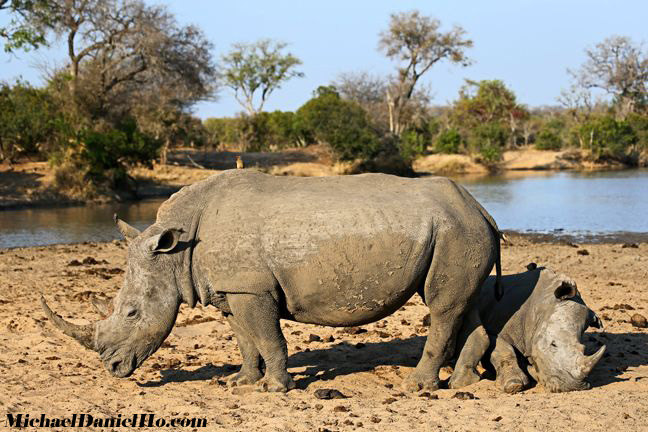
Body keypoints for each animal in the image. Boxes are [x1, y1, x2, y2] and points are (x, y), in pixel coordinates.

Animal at [41, 170, 502, 394]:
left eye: (133, 313)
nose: (112, 369)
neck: (176, 250)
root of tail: (481, 209)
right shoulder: (231, 288)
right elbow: (246, 340)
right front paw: (240, 383)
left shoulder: (252, 288)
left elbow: (268, 337)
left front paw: (274, 389)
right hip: (458, 231)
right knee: (463, 303)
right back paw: (463, 383)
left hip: (455, 231)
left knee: (441, 306)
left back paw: (417, 386)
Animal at [448, 264, 604, 394]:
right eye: (553, 344)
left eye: (584, 348)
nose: (572, 386)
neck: (542, 307)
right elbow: (503, 347)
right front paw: (514, 384)